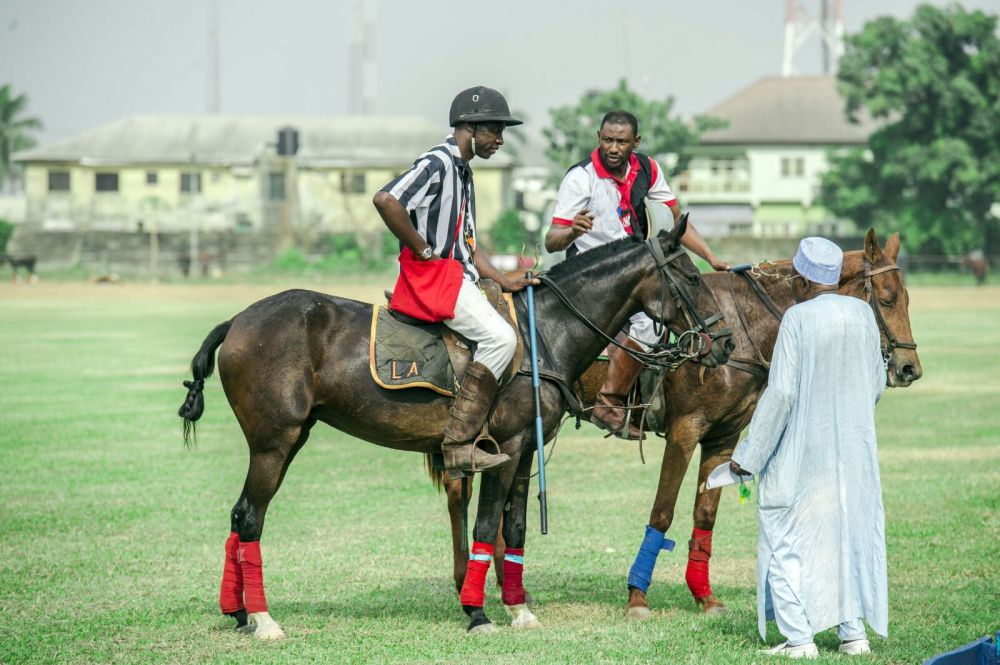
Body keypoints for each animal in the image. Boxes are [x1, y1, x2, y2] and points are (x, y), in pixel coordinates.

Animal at [178, 219, 736, 640]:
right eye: (690, 277)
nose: (727, 343)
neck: (546, 332)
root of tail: (236, 320)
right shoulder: (504, 446)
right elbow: (485, 526)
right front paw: (478, 612)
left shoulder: (525, 450)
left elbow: (515, 527)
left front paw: (519, 609)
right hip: (275, 440)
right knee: (250, 515)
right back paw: (265, 621)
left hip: (292, 437)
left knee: (238, 516)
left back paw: (238, 613)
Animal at [438, 228, 920, 616]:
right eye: (887, 298)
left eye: (908, 298)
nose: (909, 368)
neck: (744, 328)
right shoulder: (686, 430)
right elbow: (663, 512)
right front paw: (637, 597)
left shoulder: (725, 437)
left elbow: (704, 515)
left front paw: (705, 597)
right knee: (461, 492)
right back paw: (470, 584)